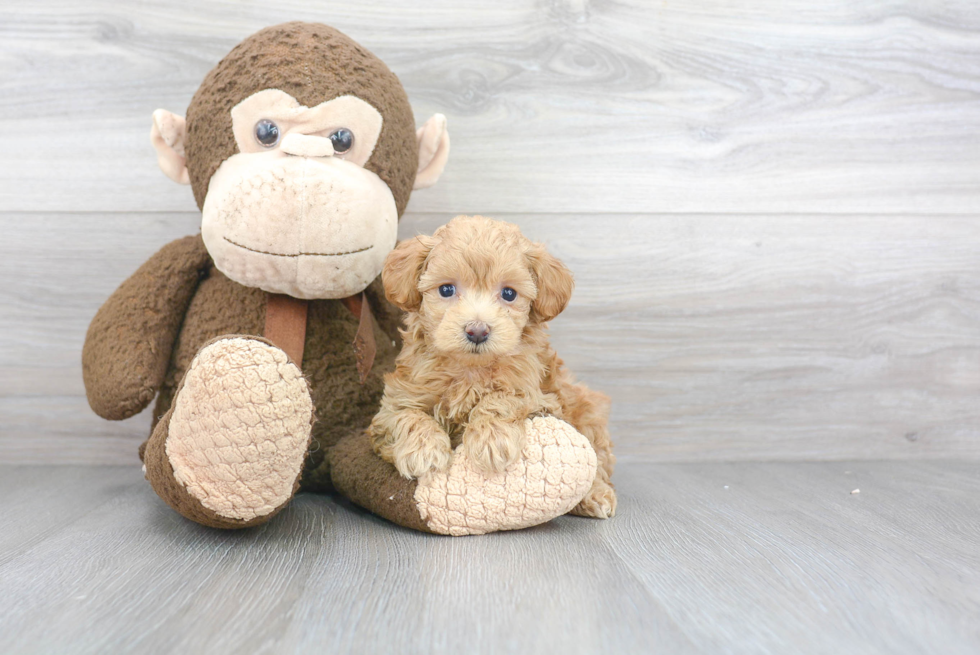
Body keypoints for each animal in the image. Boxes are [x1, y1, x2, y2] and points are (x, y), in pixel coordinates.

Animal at [372, 218, 616, 520]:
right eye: (446, 290)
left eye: (509, 293)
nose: (477, 330)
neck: (470, 369)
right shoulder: (394, 401)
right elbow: (405, 415)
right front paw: (423, 449)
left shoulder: (541, 398)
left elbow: (503, 398)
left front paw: (491, 439)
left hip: (587, 411)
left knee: (597, 460)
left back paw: (596, 495)